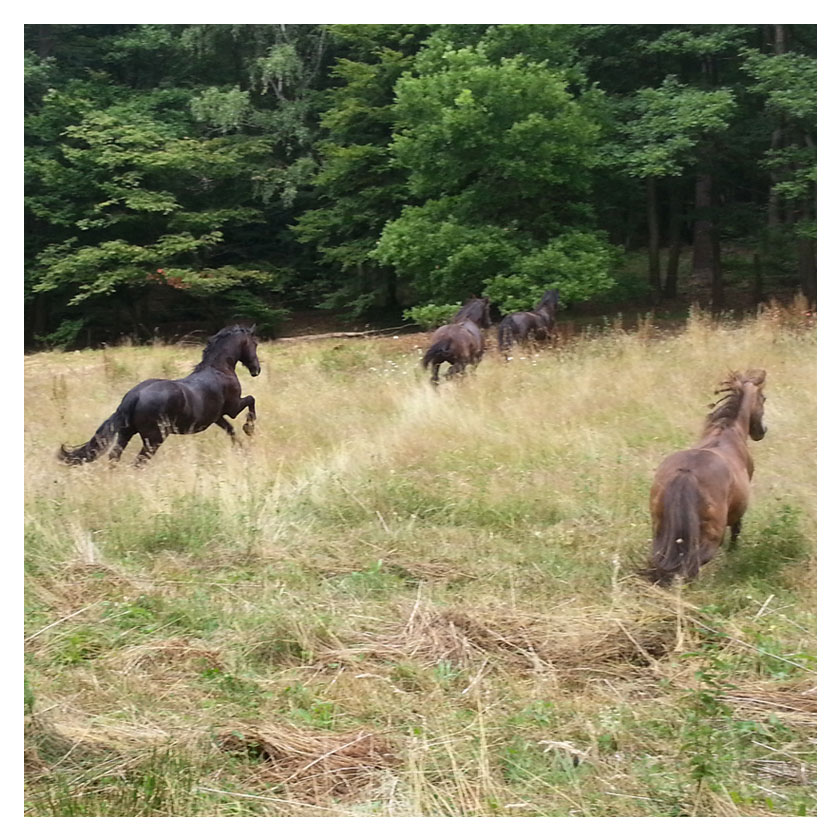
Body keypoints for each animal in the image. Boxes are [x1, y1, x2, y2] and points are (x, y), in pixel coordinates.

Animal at [58, 325, 261, 466]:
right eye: (255, 343)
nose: (256, 370)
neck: (219, 369)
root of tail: (133, 397)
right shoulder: (233, 407)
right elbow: (251, 400)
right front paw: (249, 429)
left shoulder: (217, 417)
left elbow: (231, 431)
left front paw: (242, 449)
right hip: (154, 439)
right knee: (138, 462)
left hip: (126, 434)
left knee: (114, 458)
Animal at [646, 370, 768, 585]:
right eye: (763, 398)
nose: (762, 431)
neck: (727, 431)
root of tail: (686, 473)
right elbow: (736, 530)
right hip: (710, 536)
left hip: (660, 530)